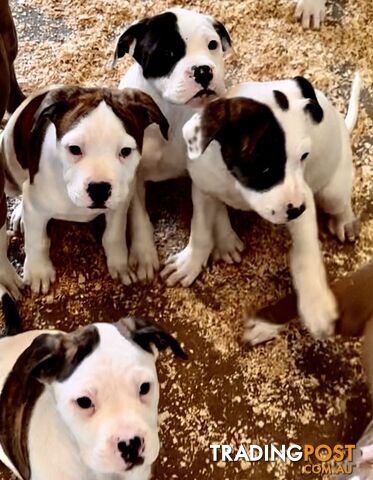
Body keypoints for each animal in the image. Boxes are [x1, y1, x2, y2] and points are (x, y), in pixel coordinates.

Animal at [1, 87, 167, 296]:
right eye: (74, 149)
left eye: (126, 151)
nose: (99, 189)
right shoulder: (35, 207)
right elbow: (36, 240)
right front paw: (39, 272)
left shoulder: (119, 204)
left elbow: (113, 235)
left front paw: (119, 264)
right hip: (8, 163)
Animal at [112, 7, 231, 284]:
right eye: (166, 53)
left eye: (212, 45)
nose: (203, 70)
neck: (172, 114)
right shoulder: (132, 175)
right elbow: (138, 216)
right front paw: (143, 254)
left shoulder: (200, 176)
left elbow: (201, 226)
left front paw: (190, 263)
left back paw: (226, 238)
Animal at [163, 75, 360, 338]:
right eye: (264, 167)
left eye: (304, 156)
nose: (298, 209)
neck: (236, 184)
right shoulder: (204, 189)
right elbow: (201, 228)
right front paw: (191, 261)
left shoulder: (304, 199)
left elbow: (306, 254)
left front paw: (316, 303)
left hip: (332, 192)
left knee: (340, 203)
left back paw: (345, 221)